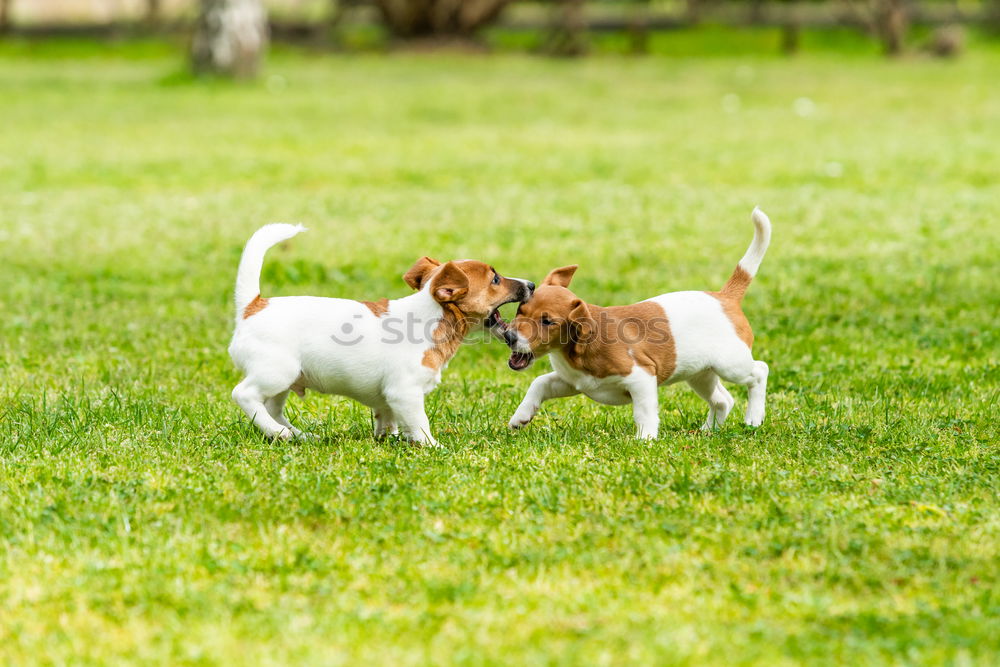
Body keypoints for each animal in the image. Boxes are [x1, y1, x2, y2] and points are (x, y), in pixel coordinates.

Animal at [228, 222, 536, 446]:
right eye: (495, 279)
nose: (532, 284)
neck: (432, 318)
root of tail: (252, 306)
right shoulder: (405, 393)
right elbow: (420, 424)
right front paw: (433, 446)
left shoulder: (388, 399)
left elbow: (388, 420)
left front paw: (389, 439)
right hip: (277, 371)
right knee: (244, 395)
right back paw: (279, 432)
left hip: (286, 380)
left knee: (272, 409)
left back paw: (295, 434)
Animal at [504, 207, 768, 438]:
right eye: (520, 310)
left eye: (547, 321)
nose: (509, 336)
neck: (575, 351)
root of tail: (725, 296)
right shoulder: (573, 382)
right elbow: (539, 383)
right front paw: (520, 417)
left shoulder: (641, 378)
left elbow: (644, 412)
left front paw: (645, 439)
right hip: (700, 373)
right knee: (723, 400)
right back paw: (707, 431)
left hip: (731, 364)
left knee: (759, 371)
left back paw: (753, 418)